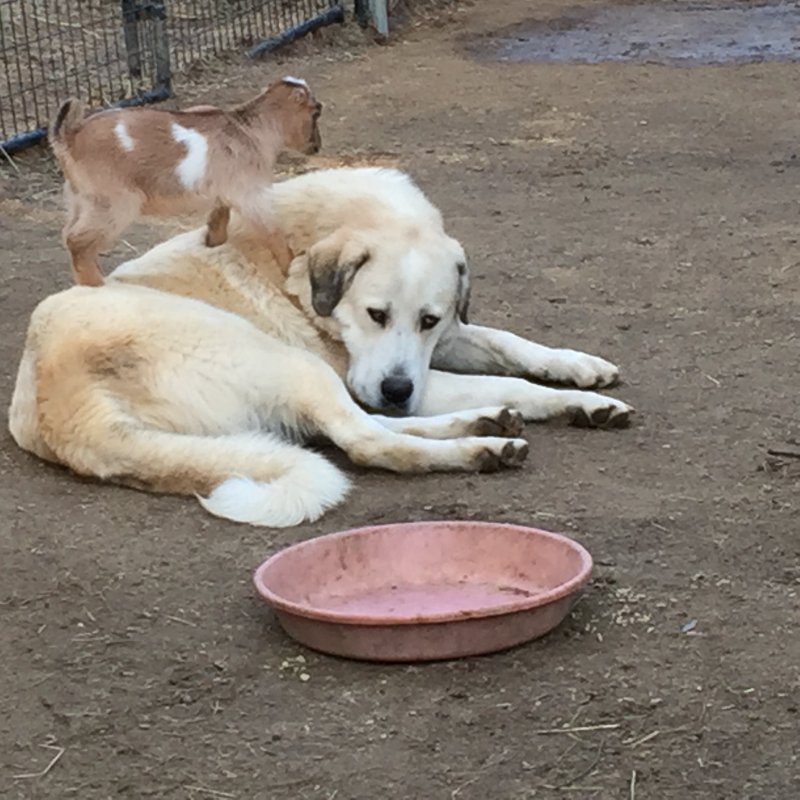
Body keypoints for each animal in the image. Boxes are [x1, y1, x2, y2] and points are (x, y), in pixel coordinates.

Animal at [6, 166, 632, 528]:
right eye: (375, 314)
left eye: (428, 319)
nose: (396, 389)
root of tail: (69, 413)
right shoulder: (371, 370)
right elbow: (511, 382)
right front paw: (568, 402)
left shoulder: (438, 345)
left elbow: (507, 344)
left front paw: (585, 377)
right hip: (292, 362)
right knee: (368, 440)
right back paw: (480, 447)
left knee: (362, 429)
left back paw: (482, 424)